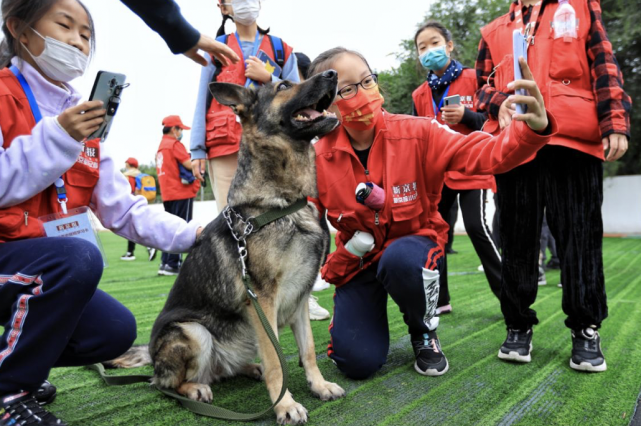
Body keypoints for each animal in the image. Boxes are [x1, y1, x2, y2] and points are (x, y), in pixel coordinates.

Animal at [112, 70, 348, 422]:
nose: (332, 74)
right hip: (194, 332)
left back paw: (248, 368)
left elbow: (307, 351)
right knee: (165, 383)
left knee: (220, 370)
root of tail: (152, 356)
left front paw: (318, 386)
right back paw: (195, 389)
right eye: (283, 86)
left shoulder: (300, 298)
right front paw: (285, 405)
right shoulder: (262, 300)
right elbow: (277, 362)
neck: (284, 204)